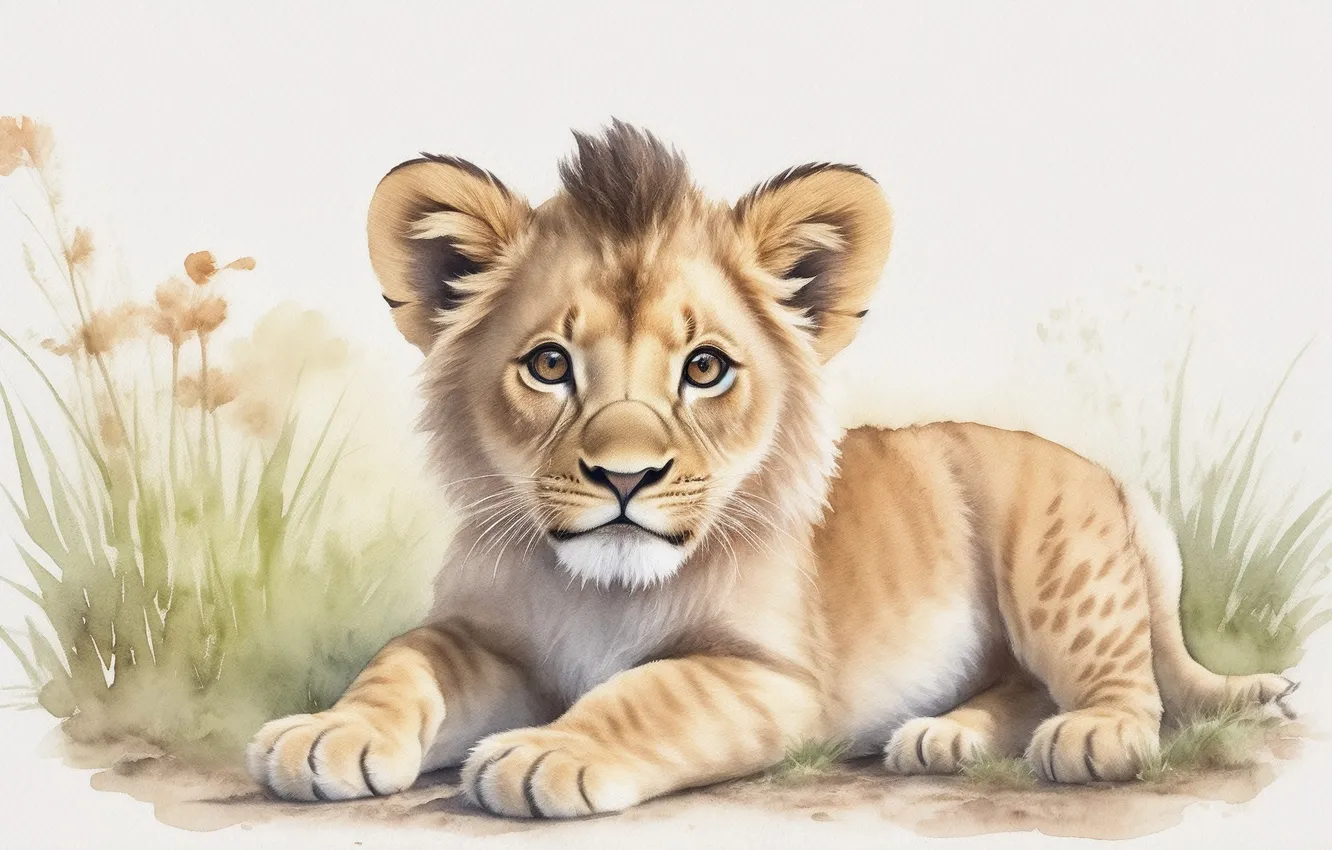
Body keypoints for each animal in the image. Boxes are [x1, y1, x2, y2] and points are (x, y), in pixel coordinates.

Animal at [247, 121, 1296, 817]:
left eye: (705, 368)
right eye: (549, 365)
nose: (623, 479)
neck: (598, 590)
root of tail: (1105, 472)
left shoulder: (773, 679)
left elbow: (645, 691)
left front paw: (548, 751)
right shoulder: (491, 639)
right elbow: (405, 658)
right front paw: (328, 732)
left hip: (1054, 571)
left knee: (1127, 687)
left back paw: (1088, 736)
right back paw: (945, 736)